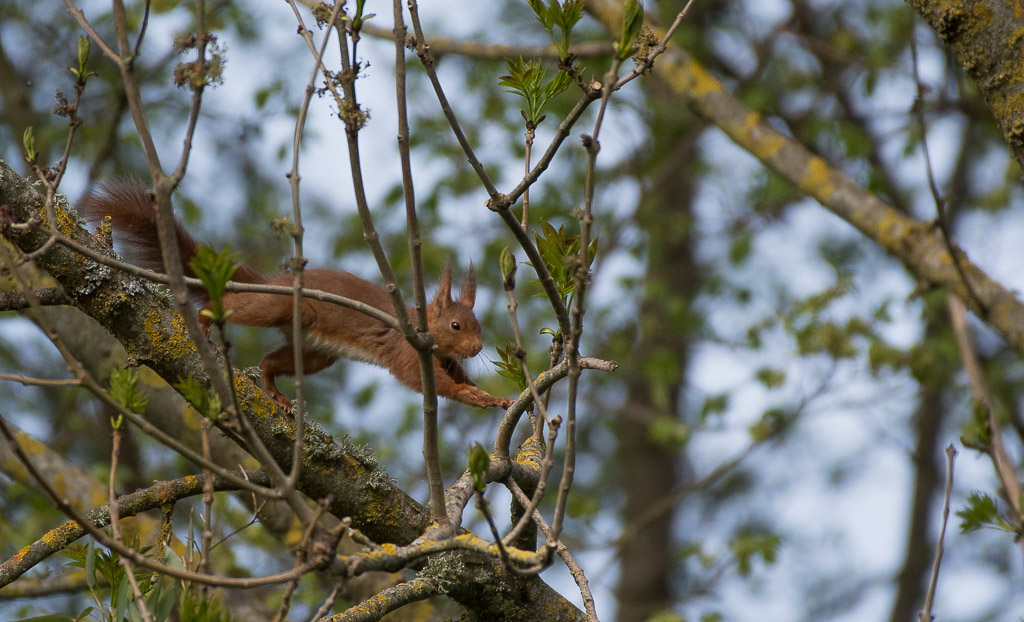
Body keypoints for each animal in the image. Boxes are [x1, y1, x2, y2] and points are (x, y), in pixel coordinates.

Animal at [80, 182, 516, 411]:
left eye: (478, 326)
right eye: (456, 325)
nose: (477, 348)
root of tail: (272, 280)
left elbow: (456, 374)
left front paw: (491, 397)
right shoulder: (407, 350)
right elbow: (423, 379)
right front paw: (465, 393)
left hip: (315, 350)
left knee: (270, 361)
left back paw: (275, 392)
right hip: (277, 307)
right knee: (230, 307)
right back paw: (205, 320)